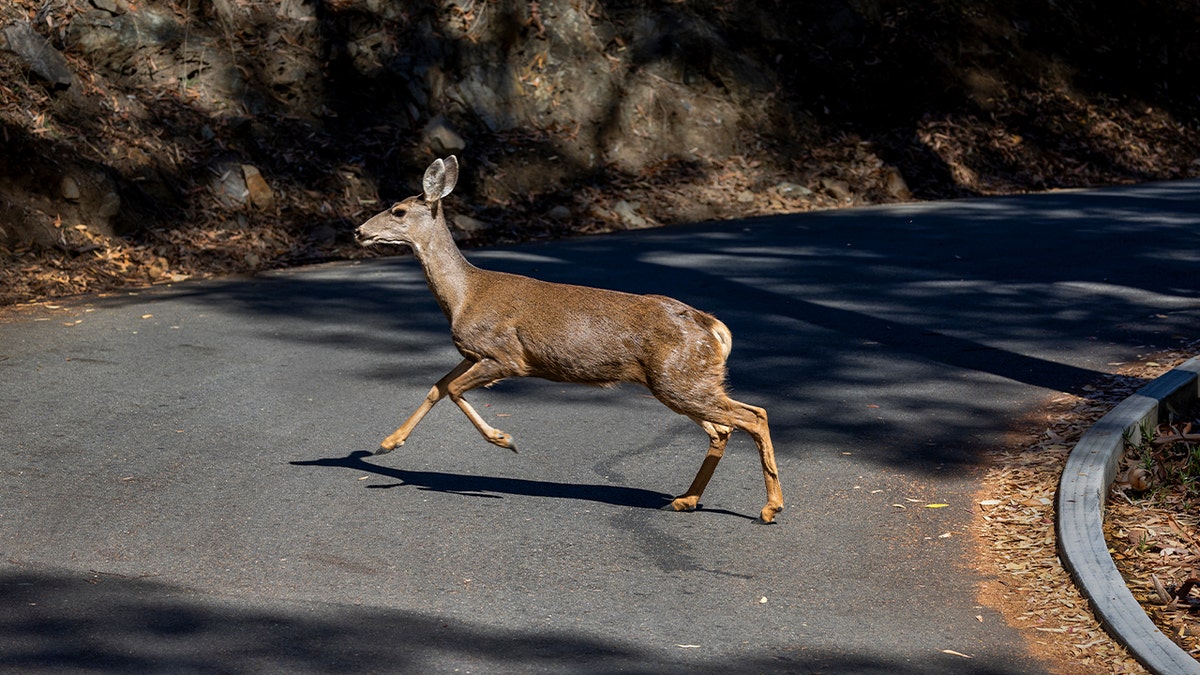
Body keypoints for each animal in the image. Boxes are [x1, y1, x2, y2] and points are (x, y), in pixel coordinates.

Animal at [355, 156, 783, 523]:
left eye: (398, 211)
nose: (359, 231)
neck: (464, 296)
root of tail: (712, 326)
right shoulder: (472, 352)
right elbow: (438, 386)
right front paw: (388, 443)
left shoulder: (505, 355)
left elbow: (455, 390)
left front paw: (503, 439)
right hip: (684, 380)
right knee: (727, 426)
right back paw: (686, 500)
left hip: (678, 378)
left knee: (752, 416)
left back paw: (769, 508)